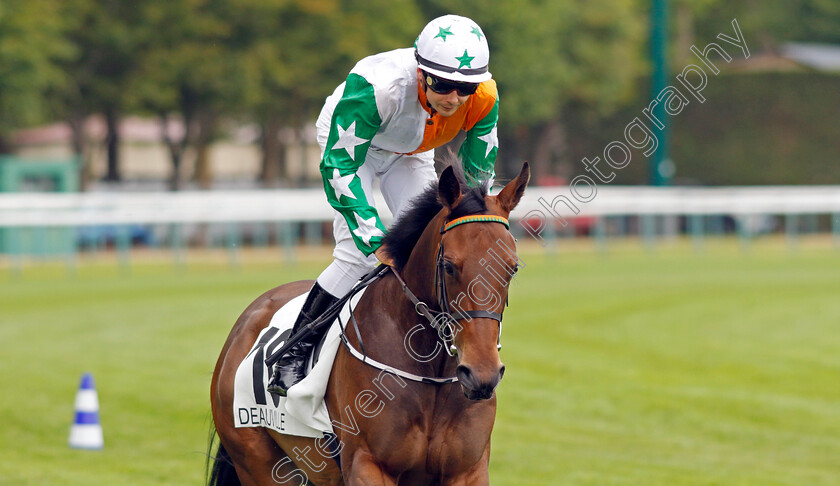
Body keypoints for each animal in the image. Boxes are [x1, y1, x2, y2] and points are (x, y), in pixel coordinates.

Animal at [208, 163, 528, 486]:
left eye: (512, 268)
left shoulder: (468, 470)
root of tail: (245, 323)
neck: (431, 375)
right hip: (259, 461)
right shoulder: (368, 464)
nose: (482, 375)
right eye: (449, 266)